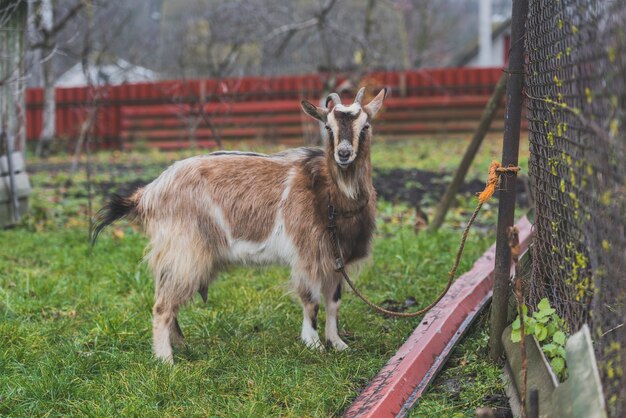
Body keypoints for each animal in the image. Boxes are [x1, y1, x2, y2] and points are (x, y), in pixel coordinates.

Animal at [92, 87, 386, 362]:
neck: (327, 194)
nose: (344, 154)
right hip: (184, 251)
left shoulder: (337, 259)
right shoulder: (308, 255)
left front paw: (338, 343)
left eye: (366, 126)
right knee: (162, 305)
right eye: (328, 127)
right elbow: (311, 302)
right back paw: (166, 360)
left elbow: (334, 303)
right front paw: (314, 344)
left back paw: (181, 346)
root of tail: (148, 194)